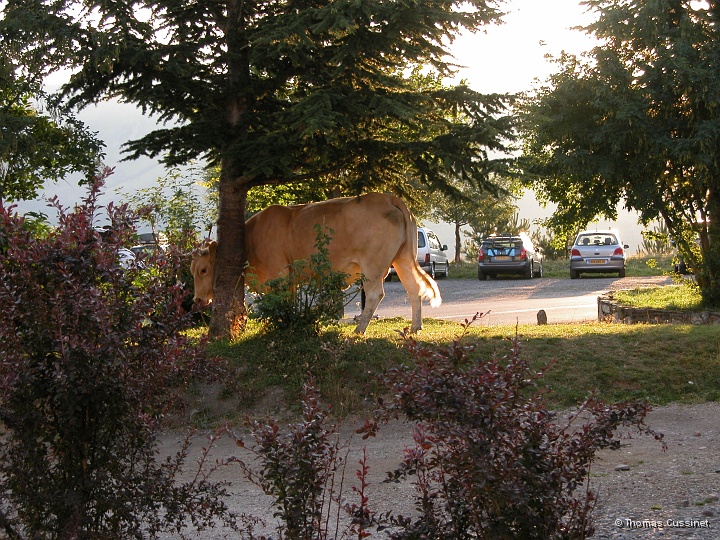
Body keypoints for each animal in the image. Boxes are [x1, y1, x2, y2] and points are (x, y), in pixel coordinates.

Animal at [190, 192, 438, 332]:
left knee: (375, 294)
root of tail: (386, 197)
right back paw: (415, 327)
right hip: (402, 259)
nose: (197, 300)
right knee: (414, 288)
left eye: (203, 270)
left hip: (373, 266)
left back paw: (359, 328)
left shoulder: (280, 274)